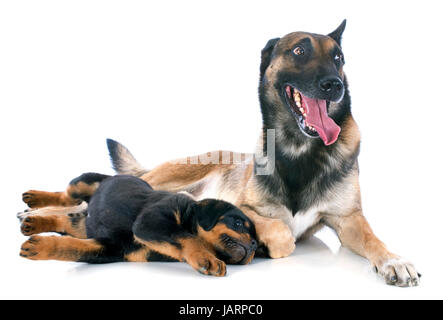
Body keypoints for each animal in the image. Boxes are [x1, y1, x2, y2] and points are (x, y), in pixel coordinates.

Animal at [20, 172, 256, 276]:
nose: (254, 244)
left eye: (256, 240)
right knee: (65, 197)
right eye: (237, 222)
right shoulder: (150, 222)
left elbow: (72, 248)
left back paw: (32, 222)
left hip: (83, 226)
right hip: (82, 182)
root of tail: (111, 176)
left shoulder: (111, 248)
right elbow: (188, 237)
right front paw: (206, 257)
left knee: (66, 222)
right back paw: (34, 199)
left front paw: (41, 247)